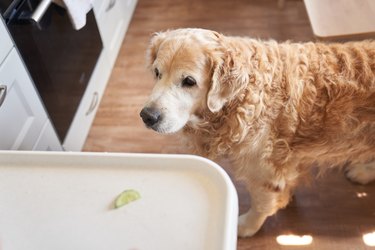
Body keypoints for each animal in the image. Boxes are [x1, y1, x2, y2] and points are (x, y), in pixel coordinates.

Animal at [140, 28, 375, 237]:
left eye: (189, 81)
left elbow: (262, 204)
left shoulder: (264, 170)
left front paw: (245, 226)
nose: (147, 116)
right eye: (157, 73)